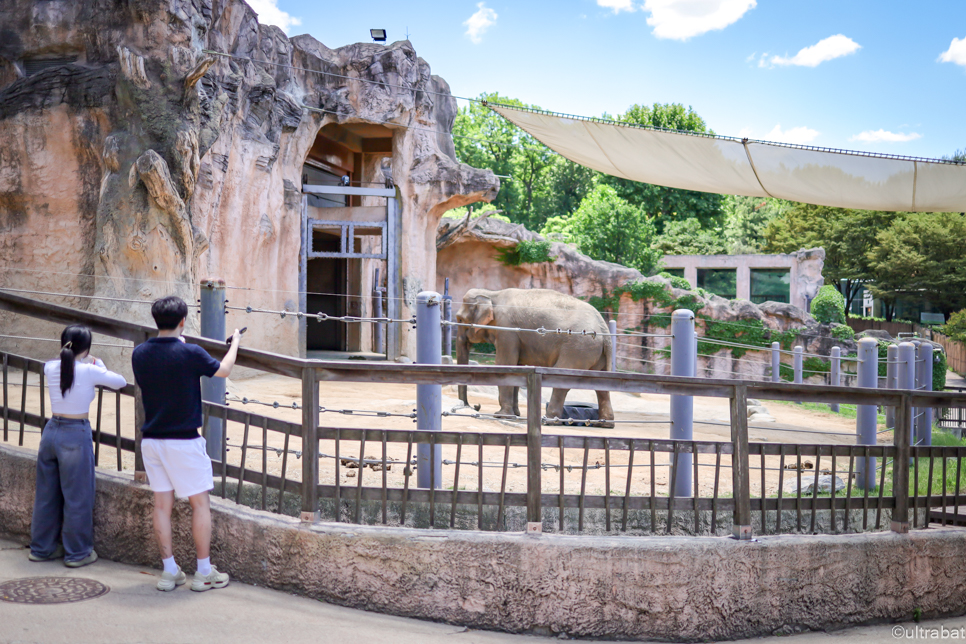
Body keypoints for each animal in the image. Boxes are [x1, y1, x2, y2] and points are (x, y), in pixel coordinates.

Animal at [458, 286, 616, 422]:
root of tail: (604, 327)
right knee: (601, 383)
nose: (475, 406)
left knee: (561, 379)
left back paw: (549, 420)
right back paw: (605, 423)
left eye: (460, 319)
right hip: (595, 352)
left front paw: (501, 415)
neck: (491, 294)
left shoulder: (507, 331)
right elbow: (516, 369)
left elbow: (505, 365)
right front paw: (515, 414)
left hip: (578, 347)